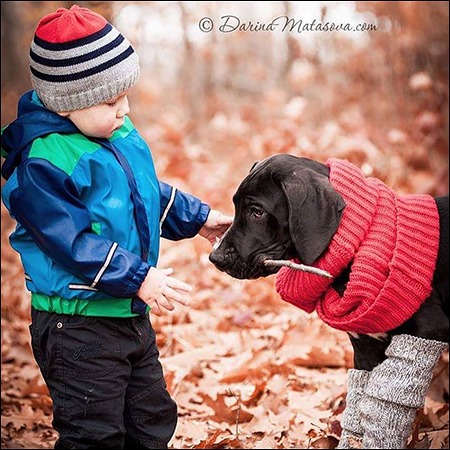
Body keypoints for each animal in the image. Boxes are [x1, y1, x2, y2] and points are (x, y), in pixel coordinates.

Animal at [209, 154, 448, 446]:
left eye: (257, 211)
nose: (215, 257)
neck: (361, 243)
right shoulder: (367, 348)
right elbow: (362, 407)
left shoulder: (428, 331)